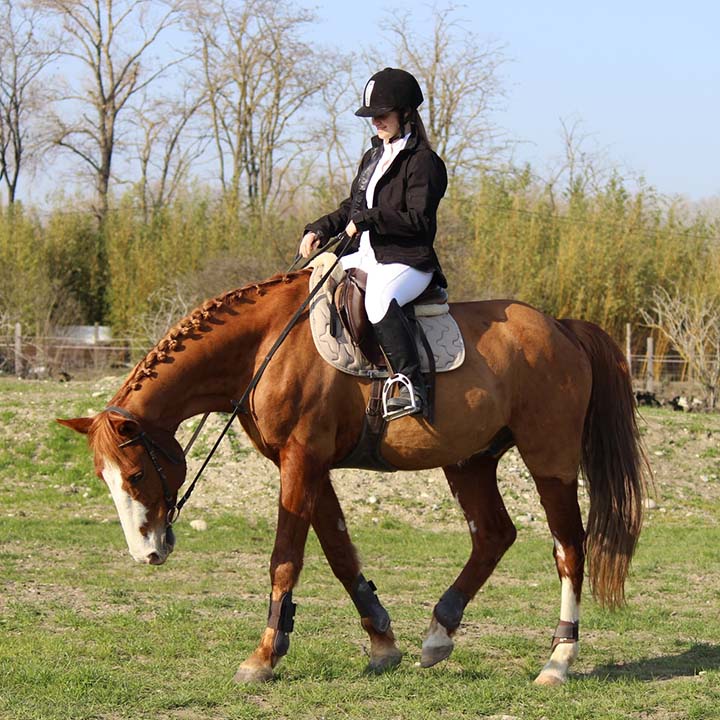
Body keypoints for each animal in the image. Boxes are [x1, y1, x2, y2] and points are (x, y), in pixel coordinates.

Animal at [58, 268, 647, 686]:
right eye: (106, 479)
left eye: (136, 473)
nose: (147, 553)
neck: (264, 344)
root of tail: (561, 329)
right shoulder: (306, 466)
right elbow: (341, 556)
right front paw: (383, 644)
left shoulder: (301, 461)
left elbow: (285, 559)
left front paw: (263, 657)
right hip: (470, 461)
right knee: (495, 535)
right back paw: (438, 635)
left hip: (550, 460)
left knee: (569, 547)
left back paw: (558, 661)